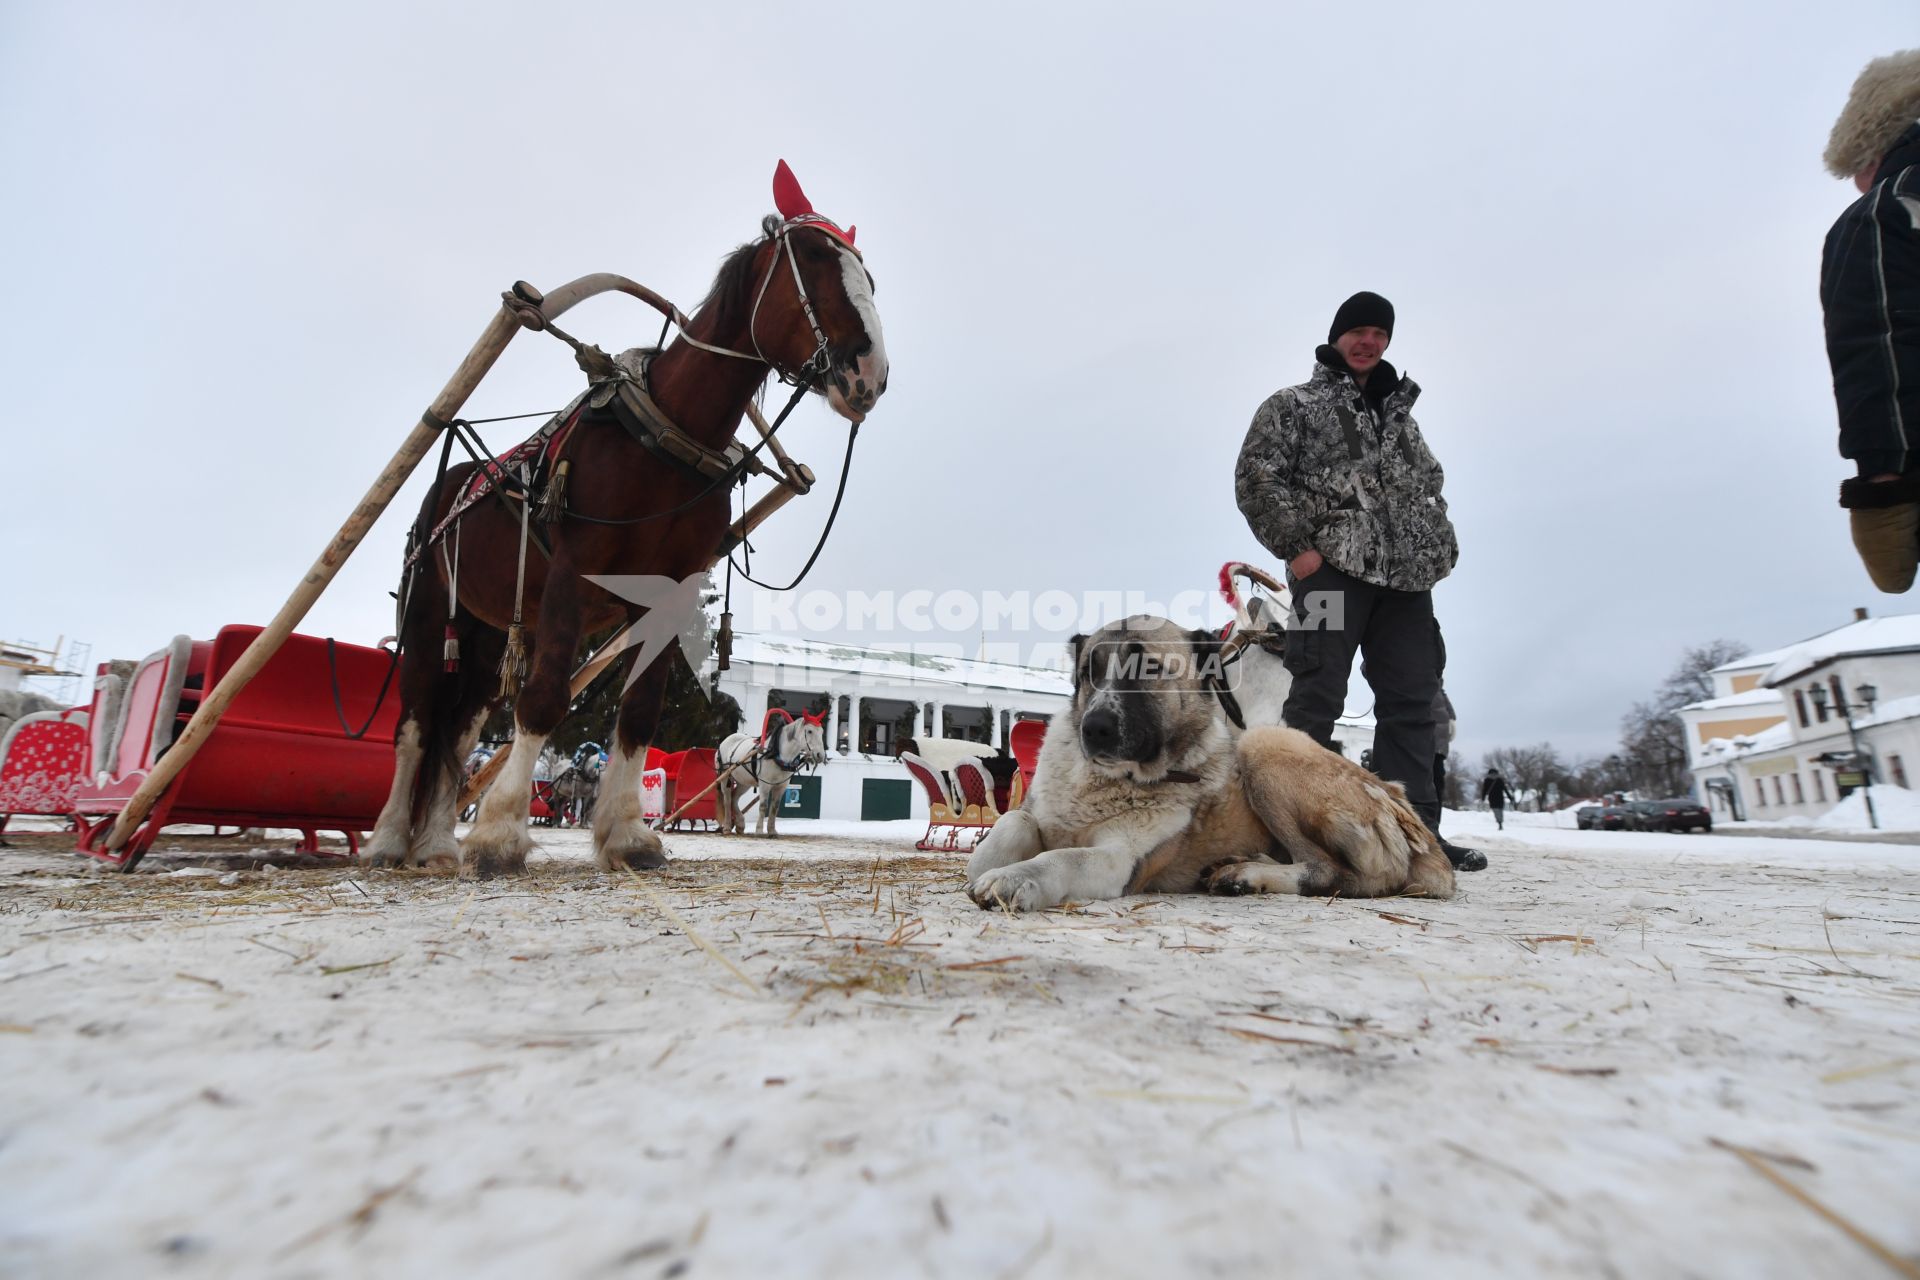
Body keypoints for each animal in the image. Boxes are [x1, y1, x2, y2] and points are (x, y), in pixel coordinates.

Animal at [362, 165, 887, 875]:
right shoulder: (574, 573)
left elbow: (638, 712)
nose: (870, 370)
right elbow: (544, 697)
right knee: (416, 725)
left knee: (462, 727)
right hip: (425, 613)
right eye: (810, 255)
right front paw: (500, 834)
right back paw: (391, 839)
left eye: (867, 271)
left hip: (482, 630)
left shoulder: (668, 593)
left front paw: (628, 835)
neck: (667, 436)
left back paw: (440, 842)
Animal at [967, 614, 1443, 905]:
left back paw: (1247, 875)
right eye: (1089, 672)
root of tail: (1395, 795)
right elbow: (1008, 827)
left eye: (1148, 668)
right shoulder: (1037, 813)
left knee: (1329, 871)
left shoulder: (1122, 862)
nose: (1093, 728)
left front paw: (1016, 878)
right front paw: (993, 862)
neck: (1107, 783)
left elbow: (1062, 858)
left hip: (1264, 743)